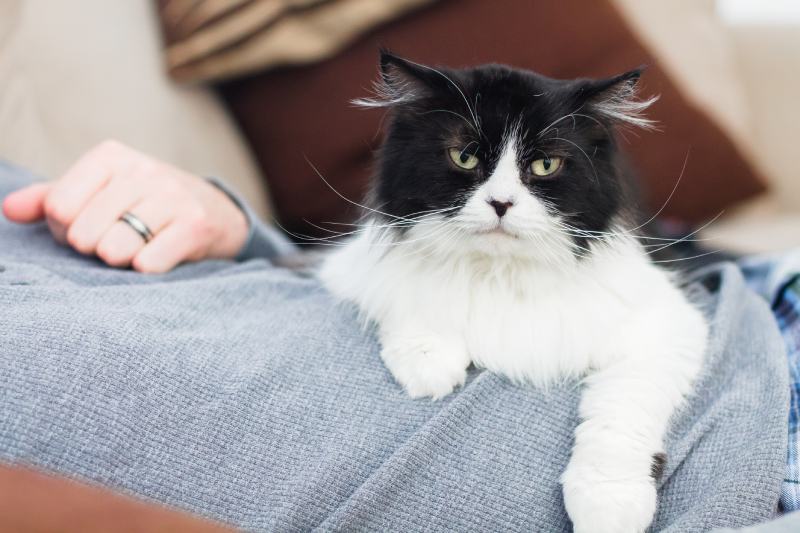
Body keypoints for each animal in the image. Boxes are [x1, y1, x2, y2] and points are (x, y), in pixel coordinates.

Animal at [318, 51, 708, 532]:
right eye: (465, 157)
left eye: (545, 166)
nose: (501, 204)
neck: (500, 271)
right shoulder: (350, 265)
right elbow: (405, 292)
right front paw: (428, 363)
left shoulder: (665, 326)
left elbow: (619, 416)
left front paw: (607, 507)